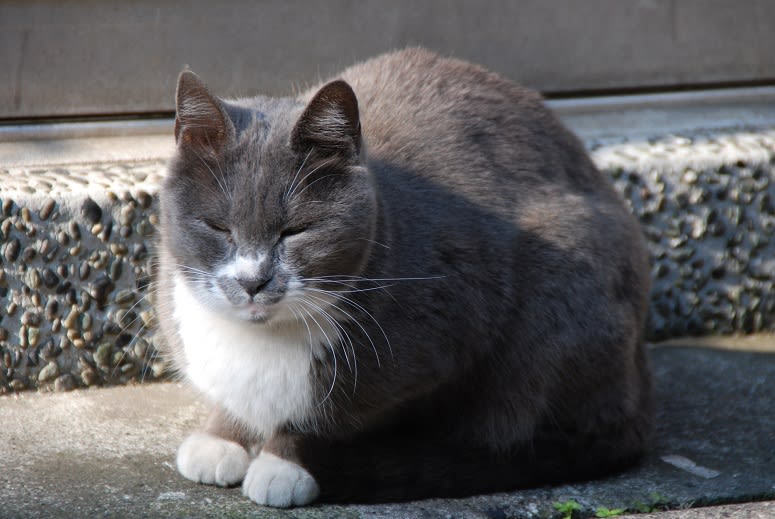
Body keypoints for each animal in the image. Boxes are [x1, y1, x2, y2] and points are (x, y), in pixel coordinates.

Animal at [158, 46, 656, 510]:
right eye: (218, 227)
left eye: (296, 230)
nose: (253, 281)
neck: (262, 341)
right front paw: (221, 438)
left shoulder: (437, 354)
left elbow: (330, 420)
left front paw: (286, 462)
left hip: (564, 291)